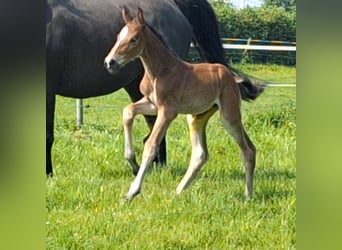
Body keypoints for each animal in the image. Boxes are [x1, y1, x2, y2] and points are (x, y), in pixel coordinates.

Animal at [104, 6, 256, 201]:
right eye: (118, 37)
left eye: (133, 39)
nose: (110, 62)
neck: (160, 70)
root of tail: (230, 76)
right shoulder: (152, 104)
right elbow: (128, 111)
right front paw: (131, 159)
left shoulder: (168, 111)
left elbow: (151, 145)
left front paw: (131, 192)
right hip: (196, 117)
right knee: (200, 154)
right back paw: (178, 191)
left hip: (229, 116)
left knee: (248, 149)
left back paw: (248, 195)